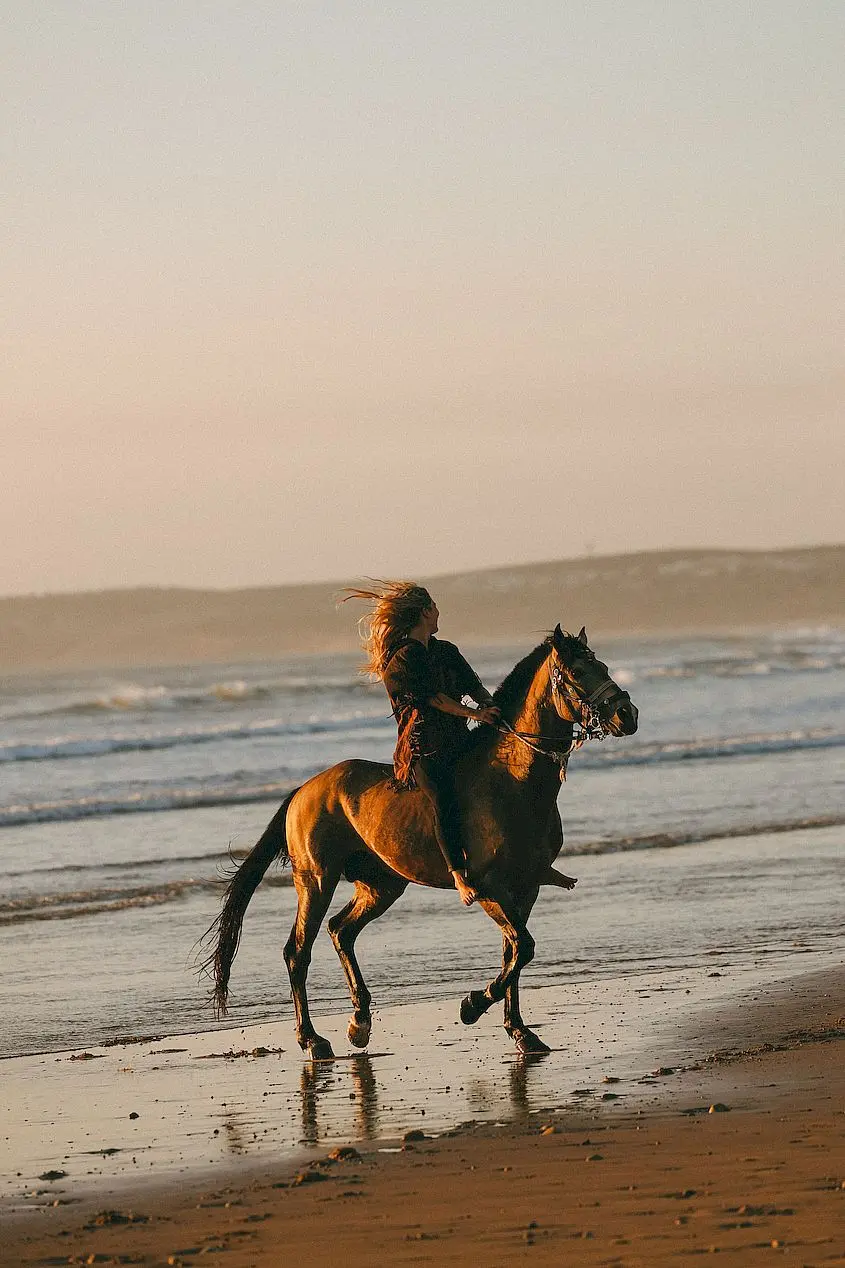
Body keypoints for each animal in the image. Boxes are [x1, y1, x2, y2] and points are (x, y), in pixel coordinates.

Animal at [206, 626, 634, 1060]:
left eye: (602, 665)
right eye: (577, 672)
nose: (627, 715)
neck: (515, 781)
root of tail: (303, 791)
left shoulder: (526, 887)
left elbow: (514, 951)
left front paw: (520, 1031)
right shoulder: (490, 887)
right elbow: (523, 948)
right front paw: (472, 1006)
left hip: (381, 884)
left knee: (341, 930)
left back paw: (359, 1022)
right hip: (316, 880)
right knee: (298, 951)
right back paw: (312, 1039)